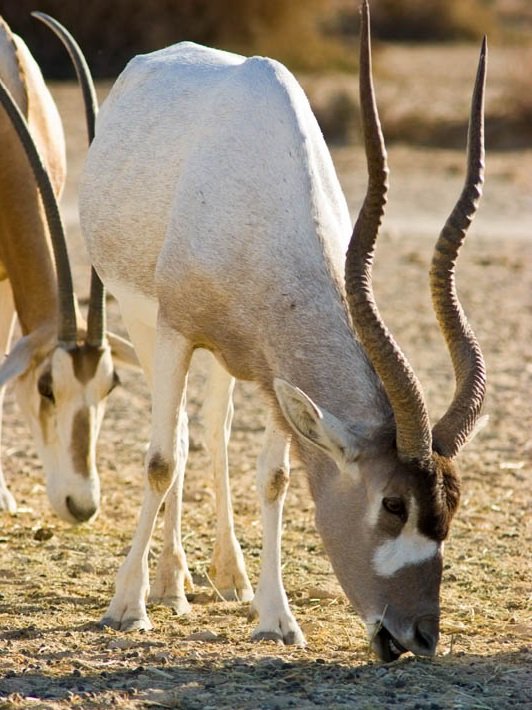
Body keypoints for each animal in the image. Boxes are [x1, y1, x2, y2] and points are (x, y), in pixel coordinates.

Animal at [79, 0, 486, 664]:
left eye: (451, 505)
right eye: (392, 503)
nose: (419, 636)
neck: (264, 207)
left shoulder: (276, 369)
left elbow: (275, 477)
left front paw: (275, 618)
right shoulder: (174, 329)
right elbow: (162, 460)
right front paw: (127, 608)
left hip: (226, 358)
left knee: (212, 430)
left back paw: (224, 578)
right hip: (144, 321)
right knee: (181, 437)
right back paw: (168, 587)